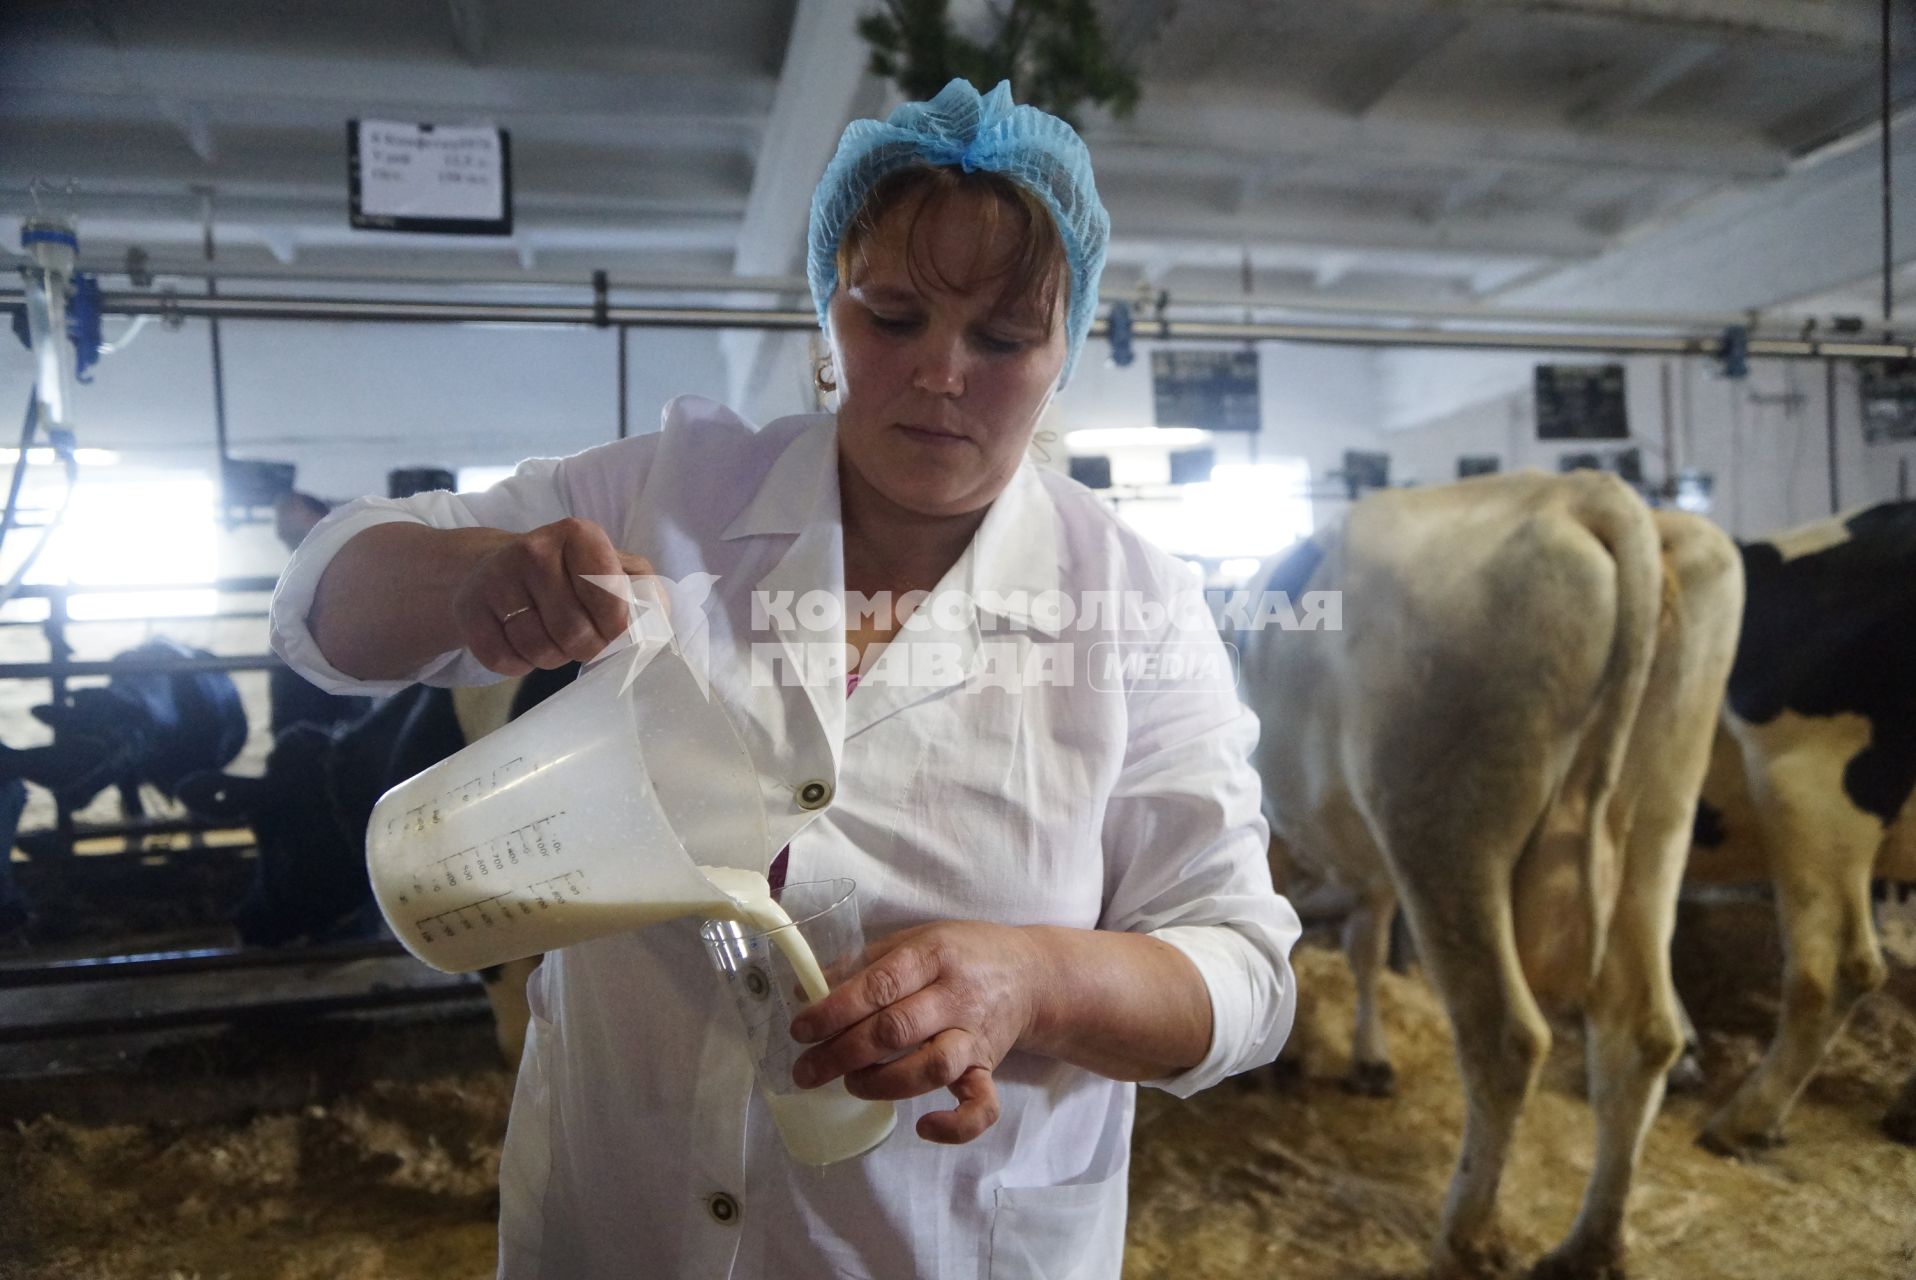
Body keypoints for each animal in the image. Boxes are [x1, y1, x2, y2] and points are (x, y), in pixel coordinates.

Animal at [1241, 473, 1755, 1280]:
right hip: (1656, 827)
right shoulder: (1369, 864)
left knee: (1504, 1038)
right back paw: (1588, 1245)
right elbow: (1361, 948)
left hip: (1444, 831)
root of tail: (1581, 491)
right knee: (1641, 1033)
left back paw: (1464, 1236)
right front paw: (1367, 1059)